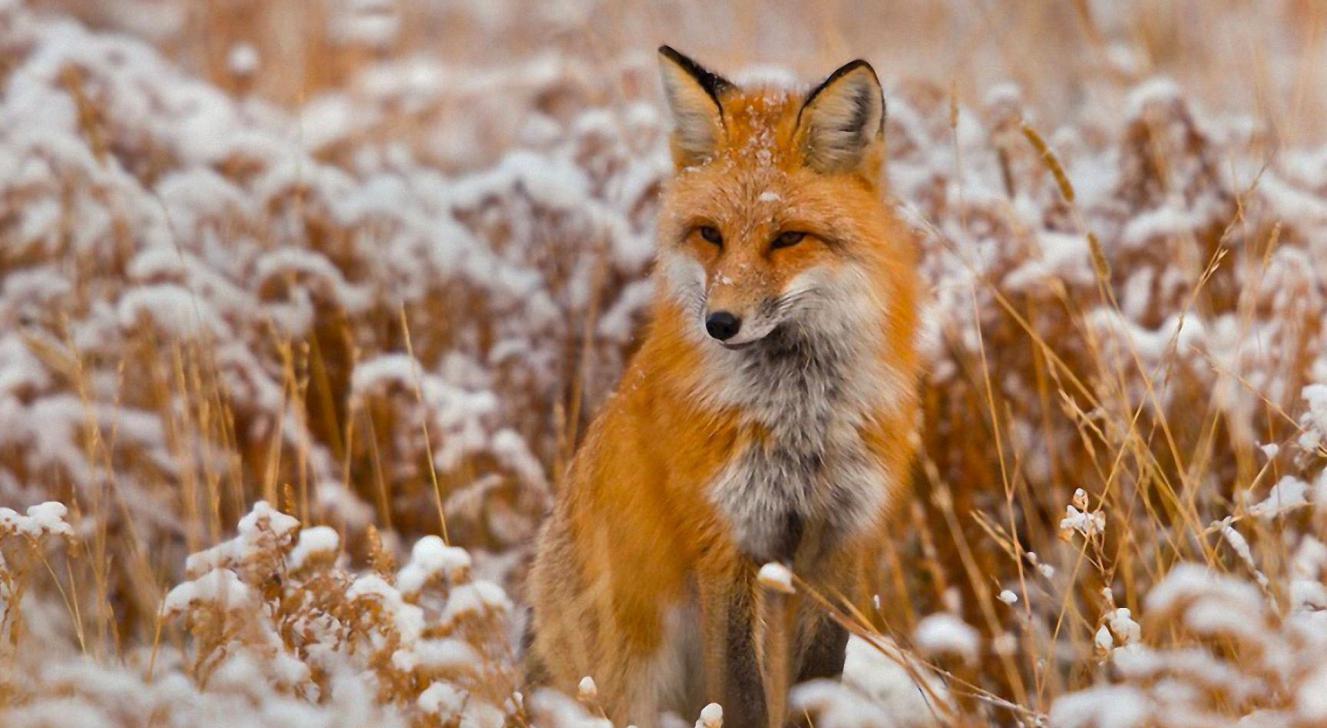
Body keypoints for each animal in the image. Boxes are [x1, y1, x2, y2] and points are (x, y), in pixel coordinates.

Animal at [522, 46, 918, 726]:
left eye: (788, 238)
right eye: (710, 234)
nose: (720, 323)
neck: (799, 416)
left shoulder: (842, 541)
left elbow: (818, 683)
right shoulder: (725, 541)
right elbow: (740, 692)